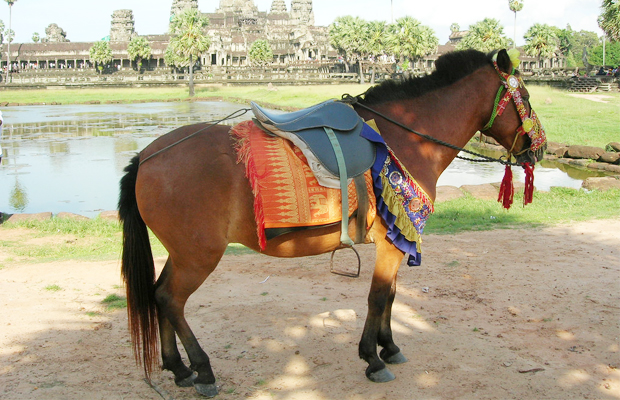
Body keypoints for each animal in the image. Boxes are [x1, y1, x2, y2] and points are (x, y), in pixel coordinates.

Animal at [118, 48, 544, 396]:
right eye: (524, 98)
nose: (537, 150)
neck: (406, 138)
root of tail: (147, 156)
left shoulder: (396, 239)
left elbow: (391, 295)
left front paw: (390, 346)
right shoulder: (391, 244)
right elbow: (378, 297)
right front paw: (372, 358)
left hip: (182, 252)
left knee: (158, 294)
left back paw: (178, 368)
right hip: (199, 255)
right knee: (171, 299)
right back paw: (202, 370)